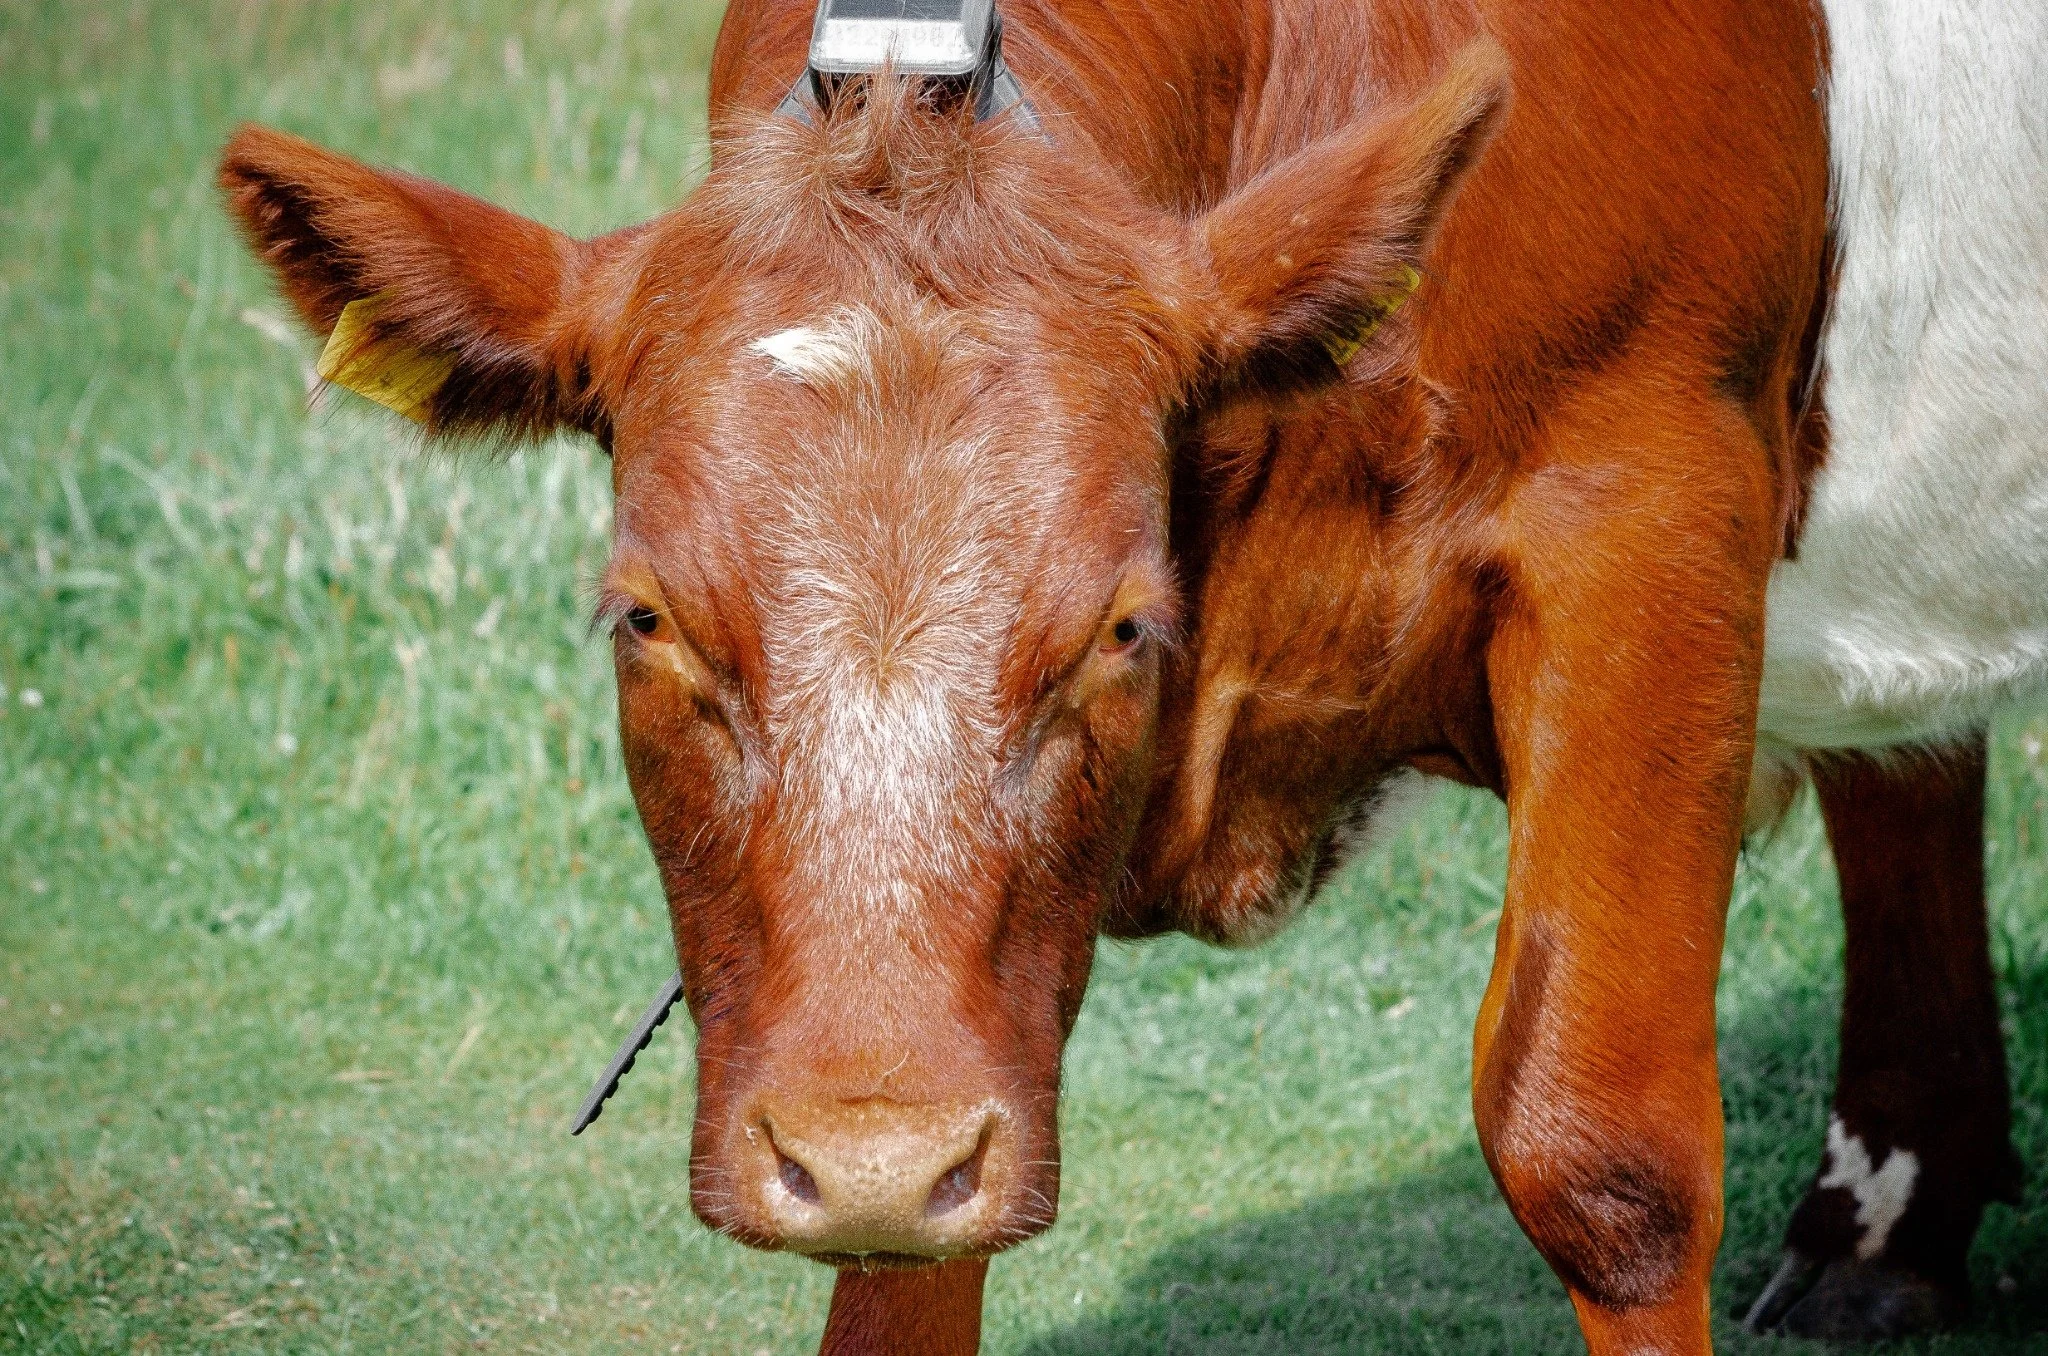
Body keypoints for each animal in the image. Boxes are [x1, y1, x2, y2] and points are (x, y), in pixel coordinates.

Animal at [216, 0, 2048, 1350]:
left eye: (1116, 629)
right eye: (645, 623)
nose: (864, 1155)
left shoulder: (1646, 518)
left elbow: (1604, 1158)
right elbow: (908, 1268)